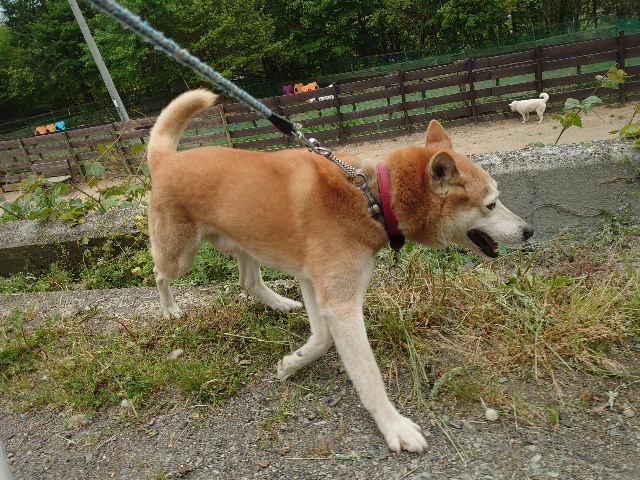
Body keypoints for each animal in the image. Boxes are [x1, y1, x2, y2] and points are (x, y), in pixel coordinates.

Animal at [147, 89, 534, 453]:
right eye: (491, 204)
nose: (529, 230)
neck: (372, 198)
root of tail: (166, 159)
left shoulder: (314, 284)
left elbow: (321, 340)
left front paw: (292, 363)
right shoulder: (341, 304)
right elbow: (368, 375)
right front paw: (394, 426)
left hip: (247, 243)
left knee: (249, 282)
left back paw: (281, 305)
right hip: (181, 254)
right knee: (160, 274)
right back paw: (170, 309)